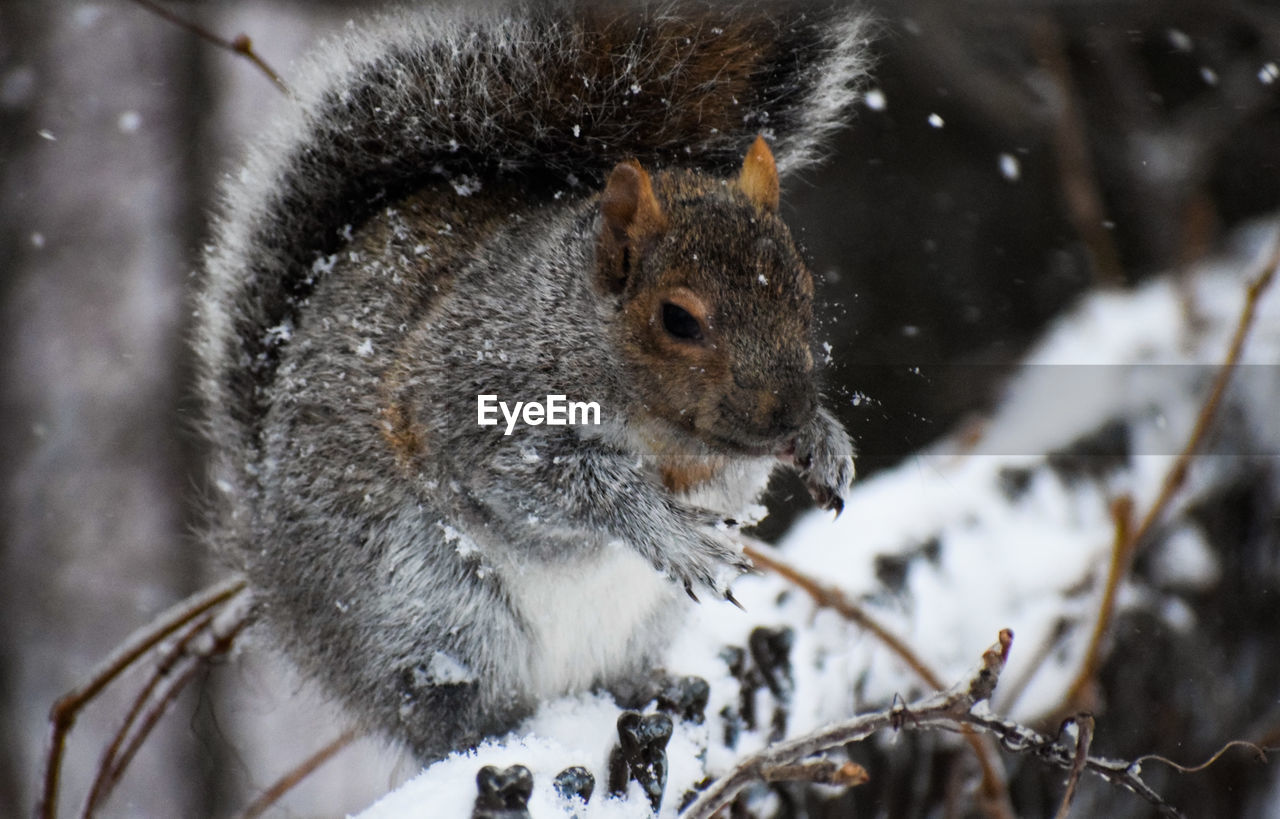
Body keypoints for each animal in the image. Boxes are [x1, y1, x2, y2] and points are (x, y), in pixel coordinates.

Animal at [192, 0, 870, 762]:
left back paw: (650, 691)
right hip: (428, 612)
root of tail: (269, 561)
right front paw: (668, 530)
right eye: (677, 319)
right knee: (453, 715)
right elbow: (547, 483)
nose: (787, 414)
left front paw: (823, 445)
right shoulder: (465, 398)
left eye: (804, 289)